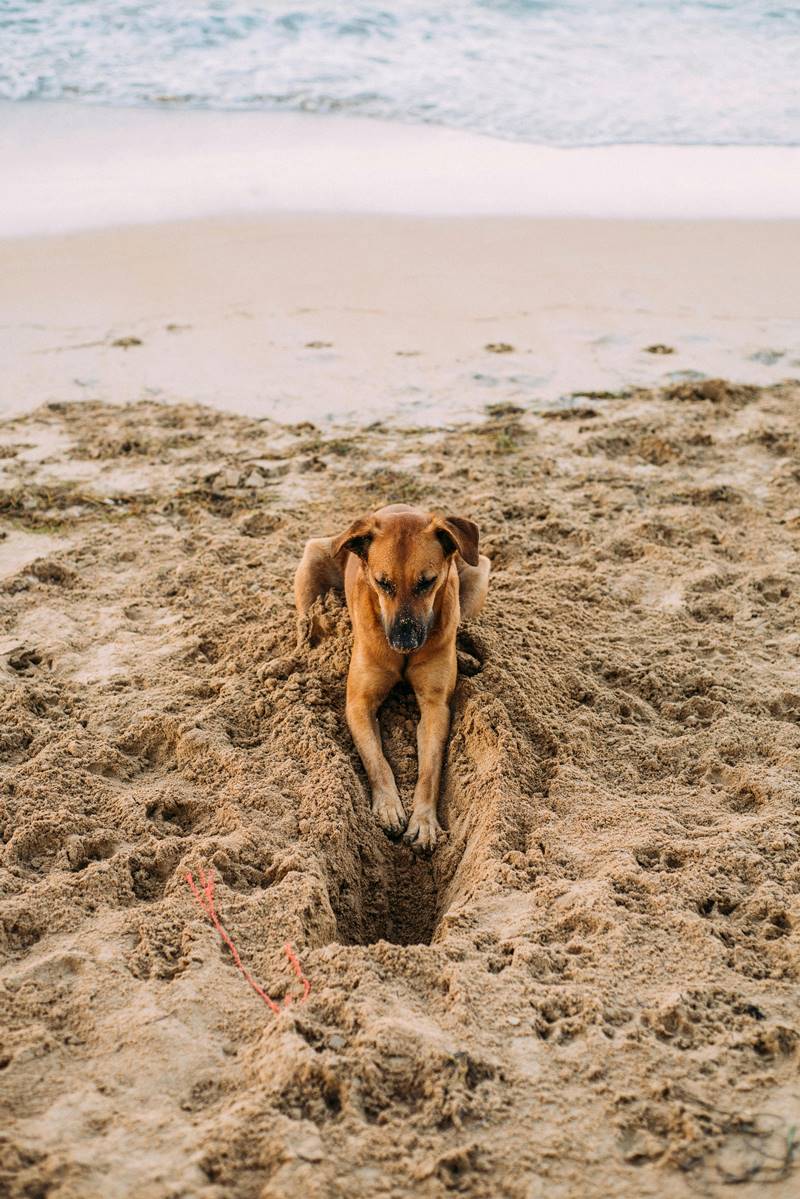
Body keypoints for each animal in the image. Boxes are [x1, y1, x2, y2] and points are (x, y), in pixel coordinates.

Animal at [297, 505, 491, 853]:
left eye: (427, 582)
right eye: (382, 583)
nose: (404, 641)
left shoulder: (435, 707)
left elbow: (429, 770)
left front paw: (423, 820)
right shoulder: (359, 704)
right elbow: (376, 760)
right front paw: (388, 806)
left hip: (478, 569)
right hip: (313, 560)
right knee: (304, 623)